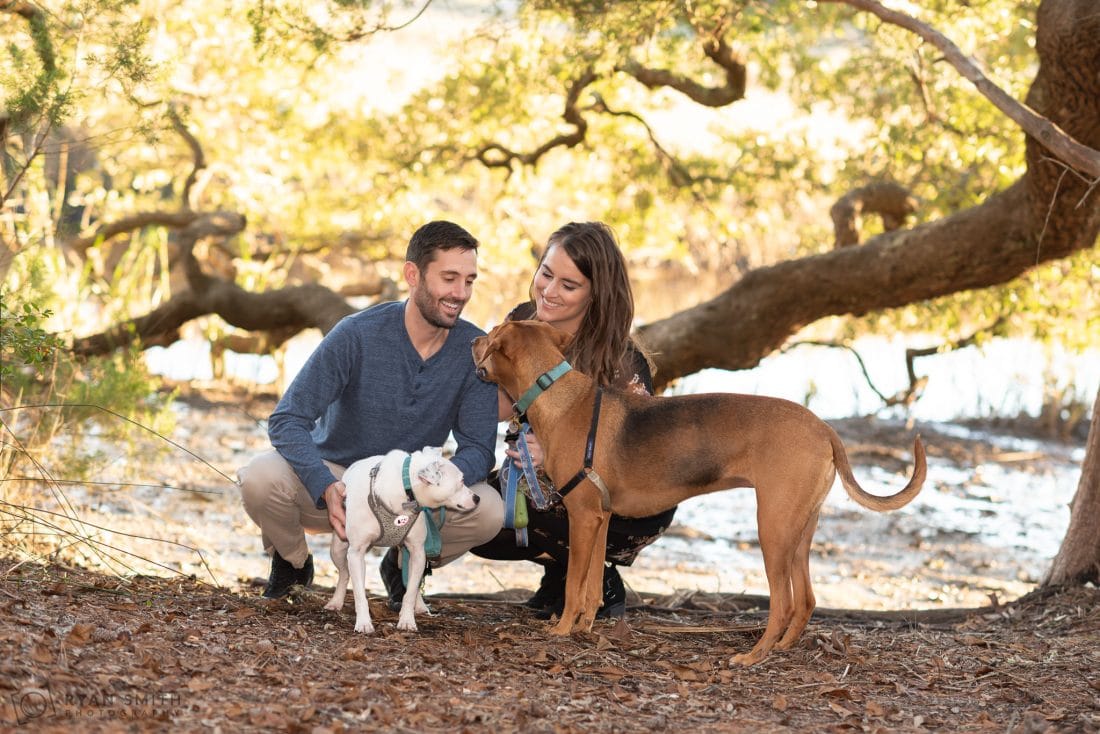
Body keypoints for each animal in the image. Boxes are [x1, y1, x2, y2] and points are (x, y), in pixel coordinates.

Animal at [321, 444, 477, 633]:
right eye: (461, 481)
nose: (477, 498)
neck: (404, 487)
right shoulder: (356, 553)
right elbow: (359, 594)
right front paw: (364, 622)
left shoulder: (418, 552)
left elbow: (410, 592)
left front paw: (407, 620)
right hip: (338, 548)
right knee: (344, 574)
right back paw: (336, 601)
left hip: (411, 555)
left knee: (413, 583)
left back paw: (420, 605)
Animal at [473, 321, 928, 664]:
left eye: (491, 333)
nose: (473, 340)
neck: (556, 394)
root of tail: (824, 429)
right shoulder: (598, 519)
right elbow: (589, 588)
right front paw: (584, 629)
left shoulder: (582, 515)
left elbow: (572, 587)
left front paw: (564, 630)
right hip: (800, 531)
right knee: (807, 600)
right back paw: (781, 648)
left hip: (773, 530)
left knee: (782, 603)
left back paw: (753, 656)